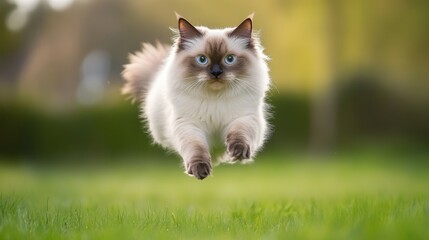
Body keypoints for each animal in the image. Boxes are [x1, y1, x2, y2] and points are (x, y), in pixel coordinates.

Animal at [122, 14, 270, 180]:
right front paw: (200, 171)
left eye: (230, 59)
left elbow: (239, 136)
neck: (215, 100)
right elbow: (196, 149)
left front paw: (238, 153)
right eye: (202, 59)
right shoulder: (189, 126)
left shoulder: (243, 118)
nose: (216, 73)